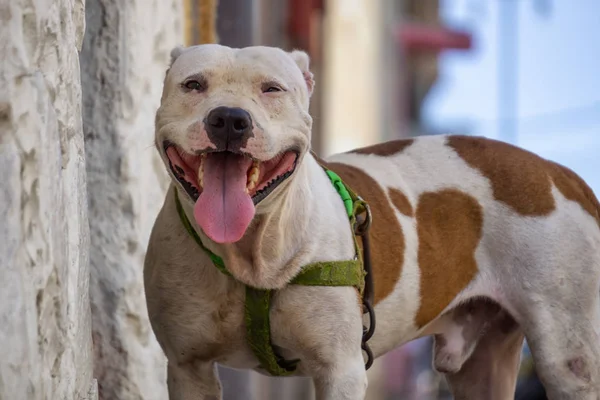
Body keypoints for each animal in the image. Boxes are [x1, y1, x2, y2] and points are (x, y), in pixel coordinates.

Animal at [145, 43, 600, 400]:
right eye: (193, 85)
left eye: (272, 88)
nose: (229, 119)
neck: (250, 251)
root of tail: (557, 171)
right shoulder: (189, 368)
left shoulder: (340, 370)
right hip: (484, 364)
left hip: (569, 357)